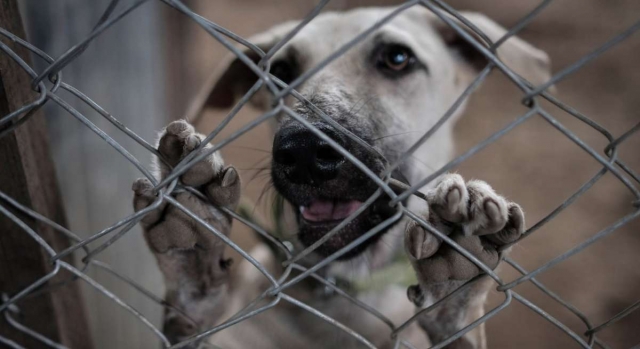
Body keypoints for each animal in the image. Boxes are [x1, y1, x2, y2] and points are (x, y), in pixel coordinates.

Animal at [131, 5, 552, 348]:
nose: (303, 150)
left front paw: (456, 289)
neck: (347, 292)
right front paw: (192, 258)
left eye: (397, 58)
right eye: (280, 71)